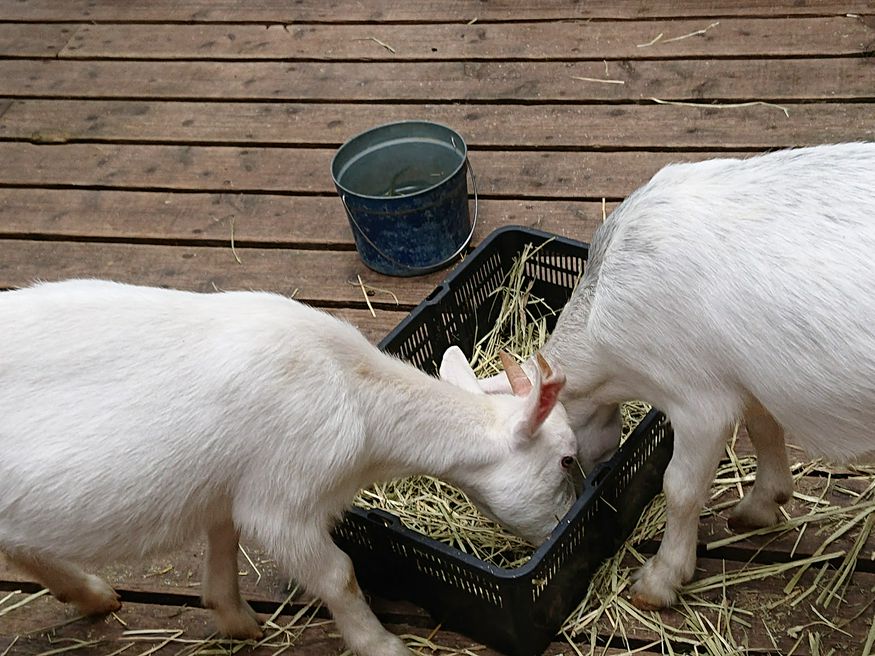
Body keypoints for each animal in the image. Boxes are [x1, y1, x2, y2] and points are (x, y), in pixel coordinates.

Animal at [0, 278, 580, 656]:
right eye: (567, 459)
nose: (559, 531)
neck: (355, 390)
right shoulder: (283, 500)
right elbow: (339, 575)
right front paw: (383, 645)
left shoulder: (234, 487)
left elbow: (225, 539)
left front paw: (235, 620)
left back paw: (93, 595)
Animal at [442, 144, 875, 608]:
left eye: (565, 459)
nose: (546, 535)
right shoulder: (744, 376)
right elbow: (762, 428)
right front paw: (762, 504)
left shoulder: (699, 402)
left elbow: (680, 488)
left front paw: (660, 579)